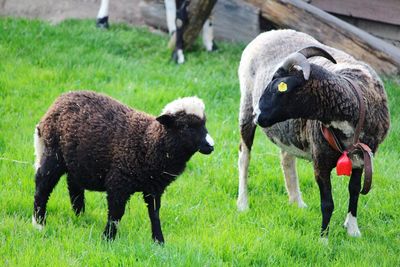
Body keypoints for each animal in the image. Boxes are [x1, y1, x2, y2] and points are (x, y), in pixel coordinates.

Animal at [32, 91, 214, 243]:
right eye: (185, 126)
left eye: (204, 124)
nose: (211, 146)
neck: (149, 142)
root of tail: (59, 100)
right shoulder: (119, 182)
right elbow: (116, 213)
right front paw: (108, 239)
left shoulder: (154, 187)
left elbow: (154, 214)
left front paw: (159, 241)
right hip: (52, 153)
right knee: (43, 186)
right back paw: (39, 223)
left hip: (77, 161)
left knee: (73, 184)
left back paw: (80, 216)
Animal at [238, 29, 390, 239]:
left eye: (279, 87)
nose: (258, 115)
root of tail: (268, 33)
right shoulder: (320, 161)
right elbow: (327, 204)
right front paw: (323, 239)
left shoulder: (362, 159)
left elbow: (354, 192)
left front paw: (353, 230)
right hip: (245, 104)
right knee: (244, 157)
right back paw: (243, 204)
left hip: (288, 132)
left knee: (286, 158)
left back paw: (296, 202)